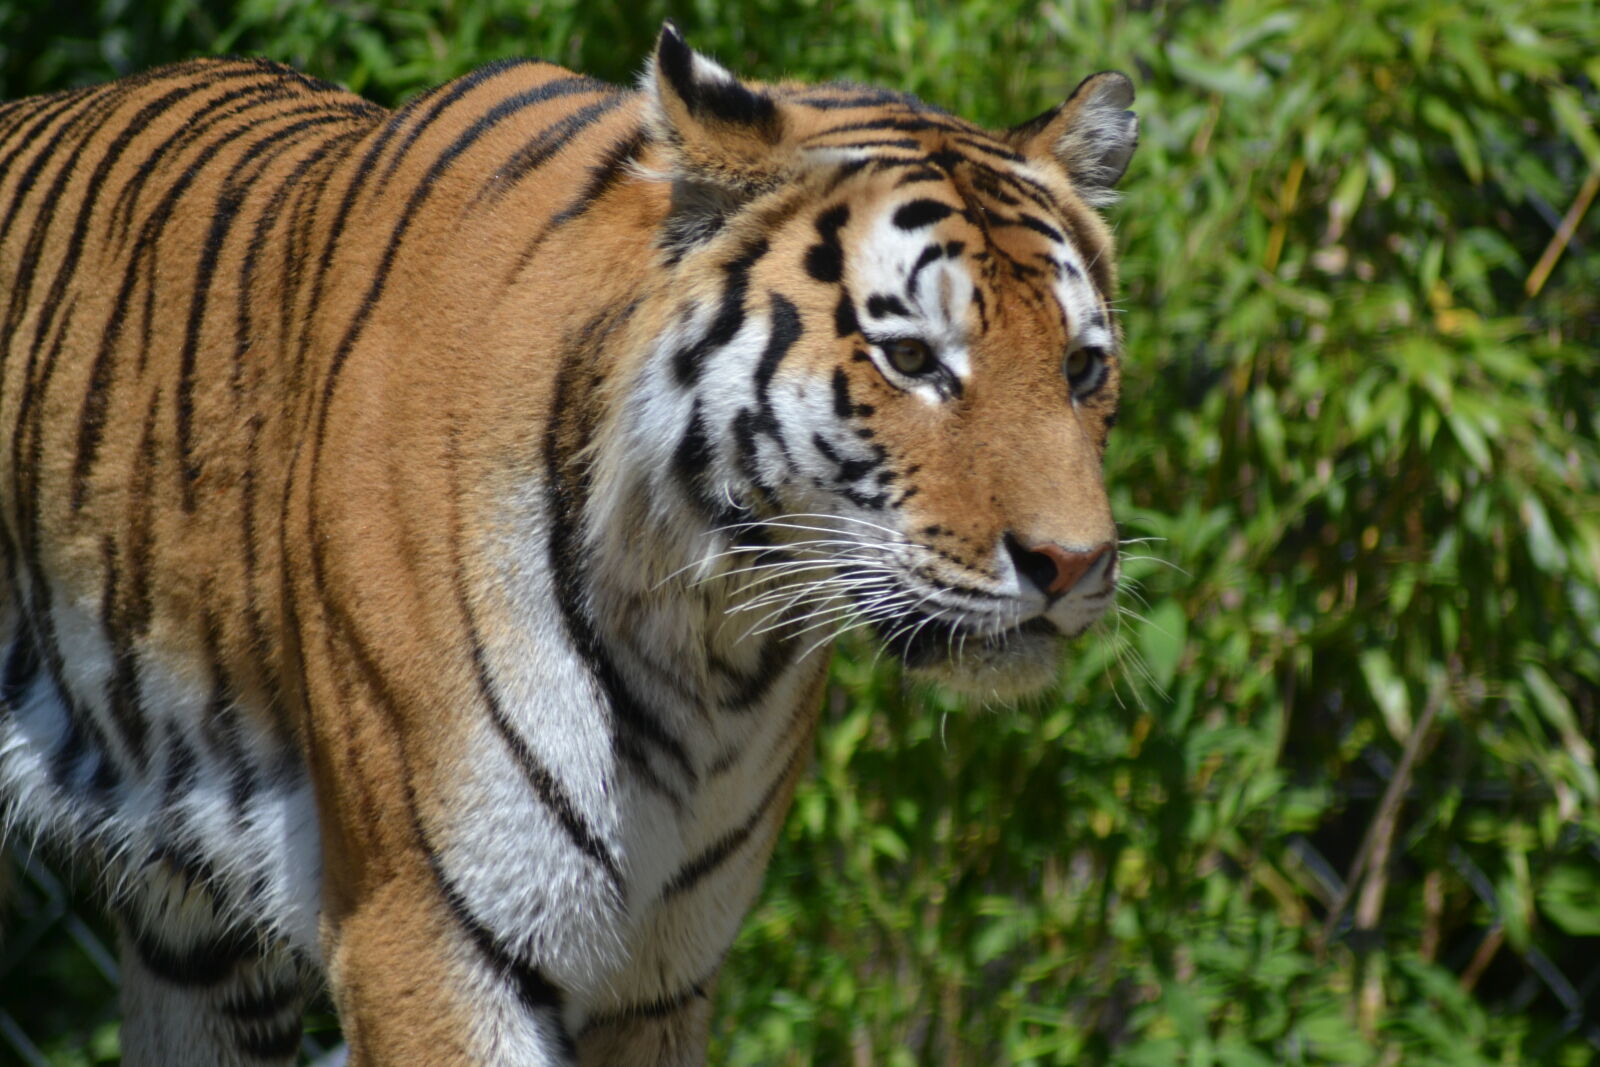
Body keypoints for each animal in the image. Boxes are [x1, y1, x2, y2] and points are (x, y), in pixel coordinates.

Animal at [0, 21, 1136, 1066]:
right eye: (910, 358)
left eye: (1081, 367)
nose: (1073, 564)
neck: (703, 632)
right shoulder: (423, 935)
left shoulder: (659, 972)